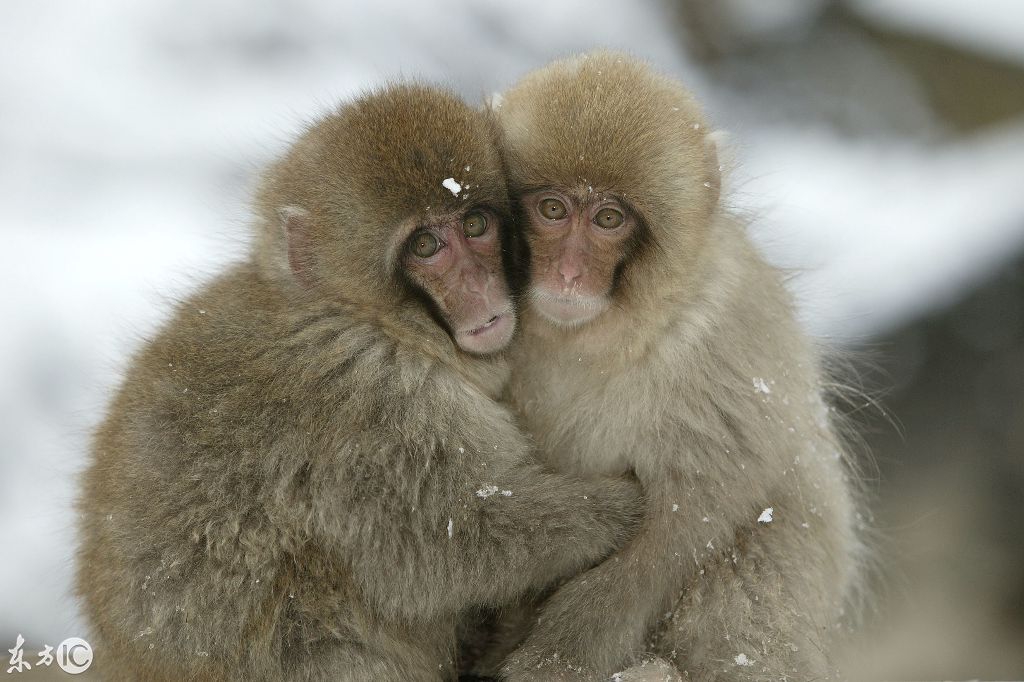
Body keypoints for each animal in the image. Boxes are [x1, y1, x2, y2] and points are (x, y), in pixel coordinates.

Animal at [77, 82, 647, 675]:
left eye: (475, 225)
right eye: (425, 246)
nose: (478, 286)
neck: (361, 316)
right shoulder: (375, 400)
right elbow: (448, 543)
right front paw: (614, 508)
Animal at [491, 53, 860, 679]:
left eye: (609, 218)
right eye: (552, 209)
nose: (568, 273)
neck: (589, 337)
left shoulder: (720, 333)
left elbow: (692, 514)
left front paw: (559, 656)